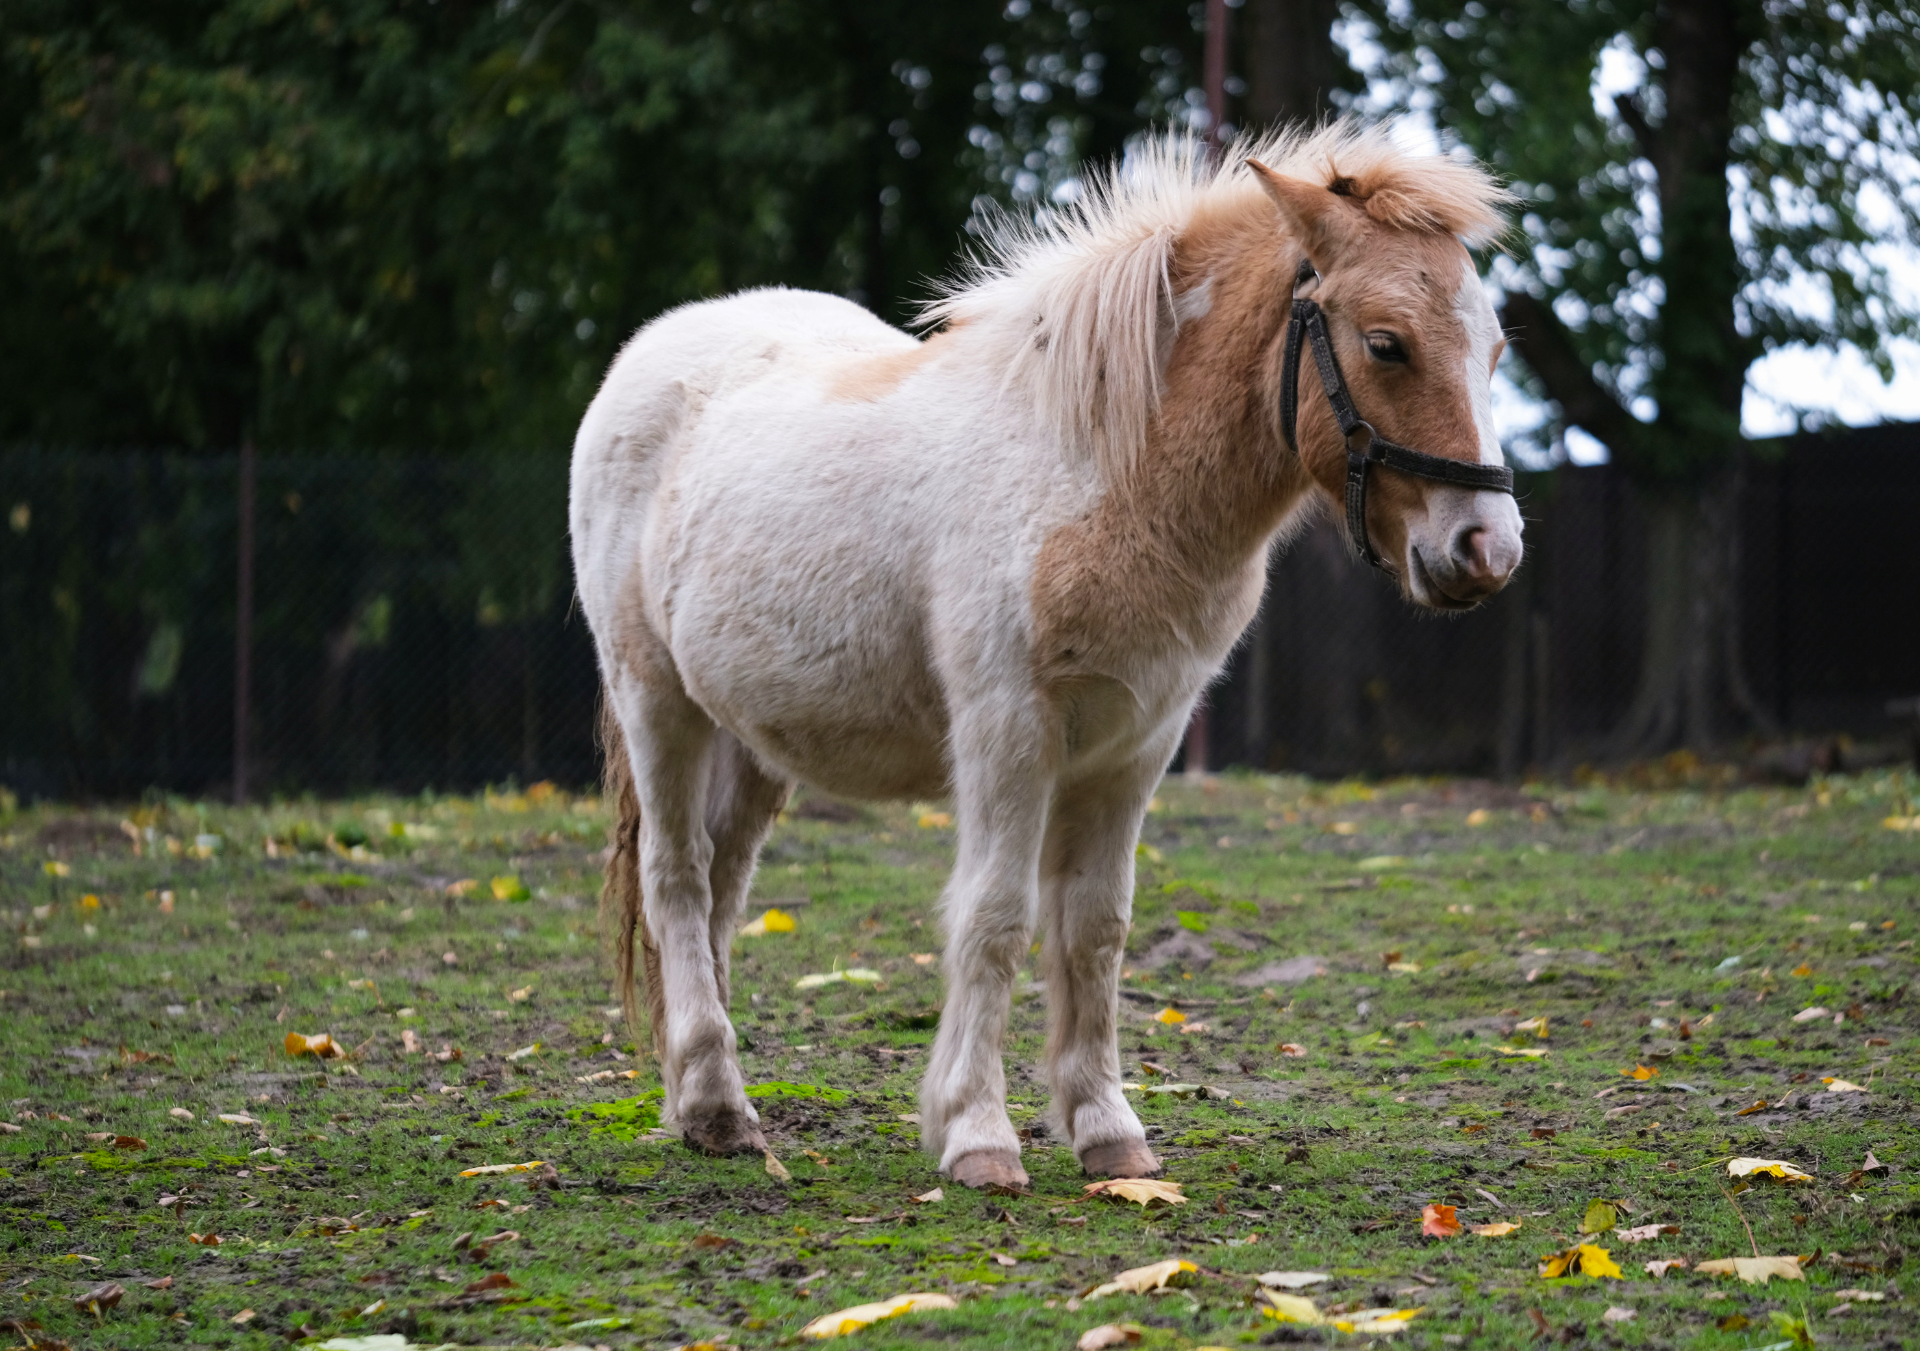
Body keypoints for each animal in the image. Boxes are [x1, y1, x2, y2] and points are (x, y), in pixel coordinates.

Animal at [569, 121, 1523, 1190]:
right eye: (1387, 343)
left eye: (1493, 348)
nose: (1487, 548)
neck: (1100, 474)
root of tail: (648, 356)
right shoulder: (1009, 731)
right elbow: (996, 915)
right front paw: (976, 1134)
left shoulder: (1136, 744)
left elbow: (1096, 926)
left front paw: (1108, 1132)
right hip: (659, 702)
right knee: (677, 879)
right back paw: (717, 1104)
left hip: (753, 732)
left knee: (723, 889)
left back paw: (698, 1100)